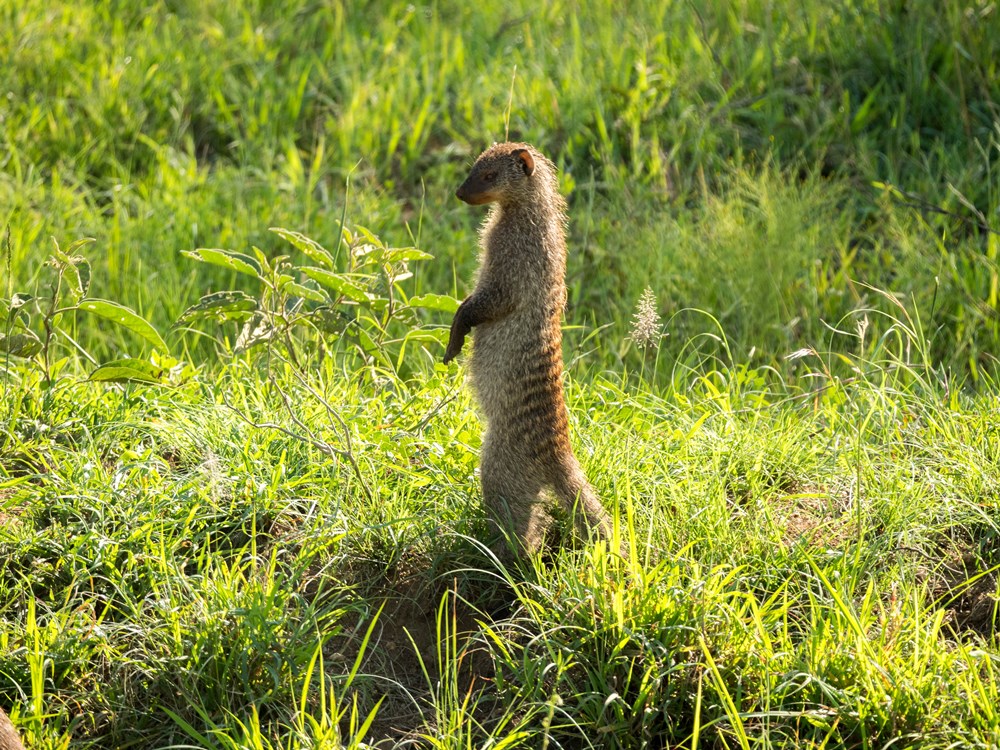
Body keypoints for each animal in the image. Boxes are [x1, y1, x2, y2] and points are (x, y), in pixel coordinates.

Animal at [444, 142, 612, 555]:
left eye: (489, 175)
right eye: (474, 168)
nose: (459, 193)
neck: (530, 216)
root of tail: (559, 452)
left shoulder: (514, 257)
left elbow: (487, 301)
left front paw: (456, 336)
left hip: (499, 463)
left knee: (518, 520)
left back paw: (502, 555)